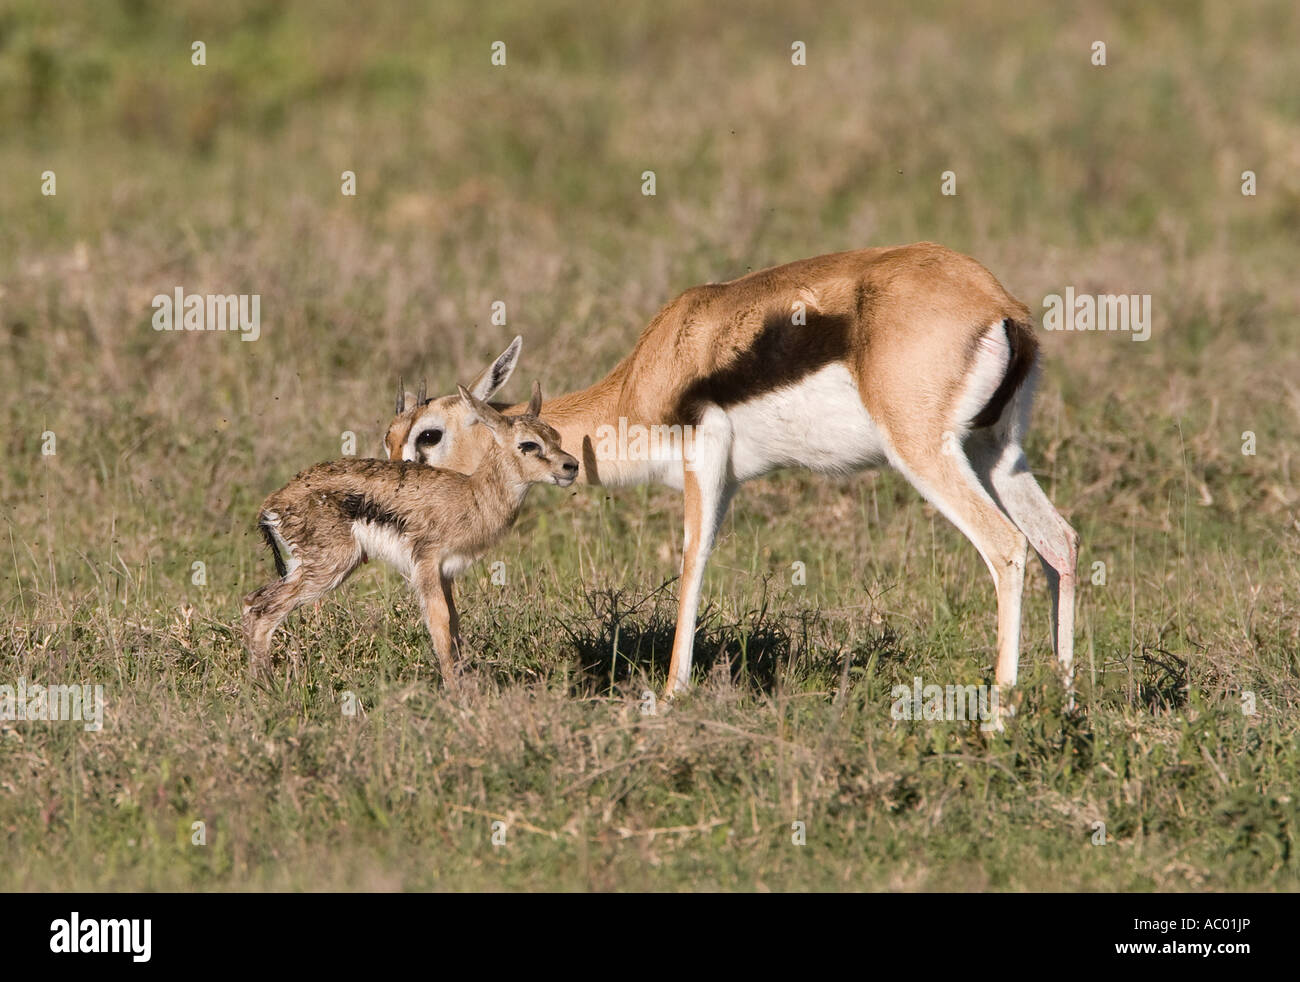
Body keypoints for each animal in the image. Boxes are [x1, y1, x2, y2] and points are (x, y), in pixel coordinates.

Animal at [241, 382, 579, 679]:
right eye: (528, 444)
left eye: (555, 436)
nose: (571, 466)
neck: (472, 495)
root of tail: (272, 503)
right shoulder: (425, 568)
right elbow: (440, 628)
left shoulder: (445, 575)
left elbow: (454, 628)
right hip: (328, 569)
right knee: (262, 610)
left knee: (252, 600)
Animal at [387, 243, 1079, 702]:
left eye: (429, 435)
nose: (393, 501)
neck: (649, 372)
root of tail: (1000, 307)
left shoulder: (705, 457)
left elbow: (692, 560)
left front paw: (671, 695)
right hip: (997, 452)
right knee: (1060, 542)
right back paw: (1068, 702)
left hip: (928, 454)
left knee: (1007, 547)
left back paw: (1000, 713)